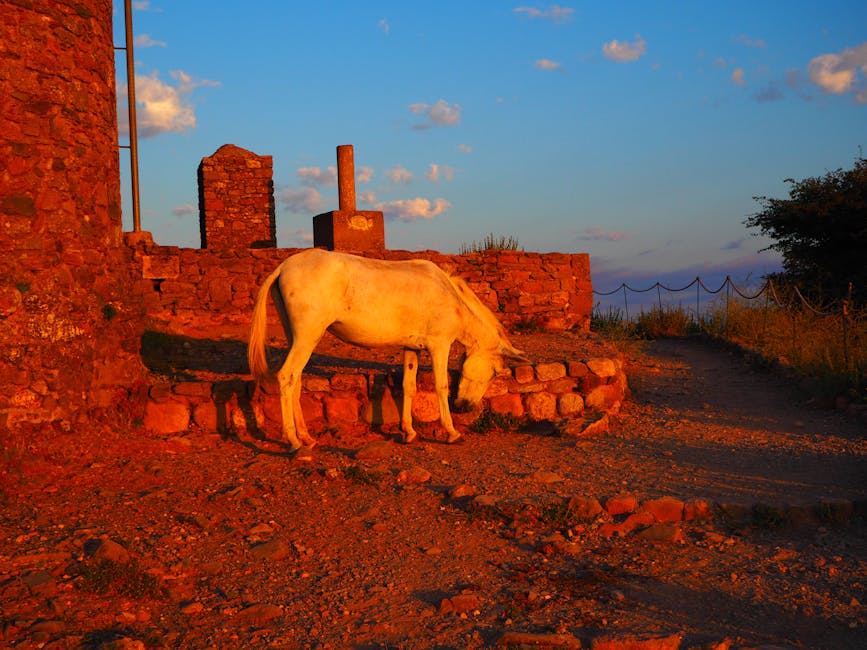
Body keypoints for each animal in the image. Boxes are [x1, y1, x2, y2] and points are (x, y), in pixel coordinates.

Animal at [247, 248, 528, 450]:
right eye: (495, 373)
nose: (465, 408)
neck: (449, 295)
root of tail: (283, 267)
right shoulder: (439, 345)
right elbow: (441, 386)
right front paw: (452, 432)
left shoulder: (411, 347)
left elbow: (409, 386)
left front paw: (409, 432)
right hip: (307, 338)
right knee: (286, 377)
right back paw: (294, 442)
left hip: (297, 339)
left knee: (294, 382)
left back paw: (306, 437)